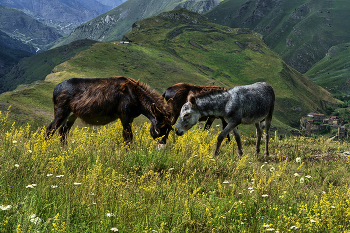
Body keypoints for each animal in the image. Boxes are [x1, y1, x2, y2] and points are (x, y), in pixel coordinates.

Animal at [45, 76, 173, 144]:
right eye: (160, 128)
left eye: (169, 130)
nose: (161, 144)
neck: (135, 94)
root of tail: (56, 88)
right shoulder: (125, 116)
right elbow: (128, 138)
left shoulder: (130, 118)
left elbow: (128, 137)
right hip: (61, 112)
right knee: (50, 129)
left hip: (72, 115)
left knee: (63, 131)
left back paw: (64, 150)